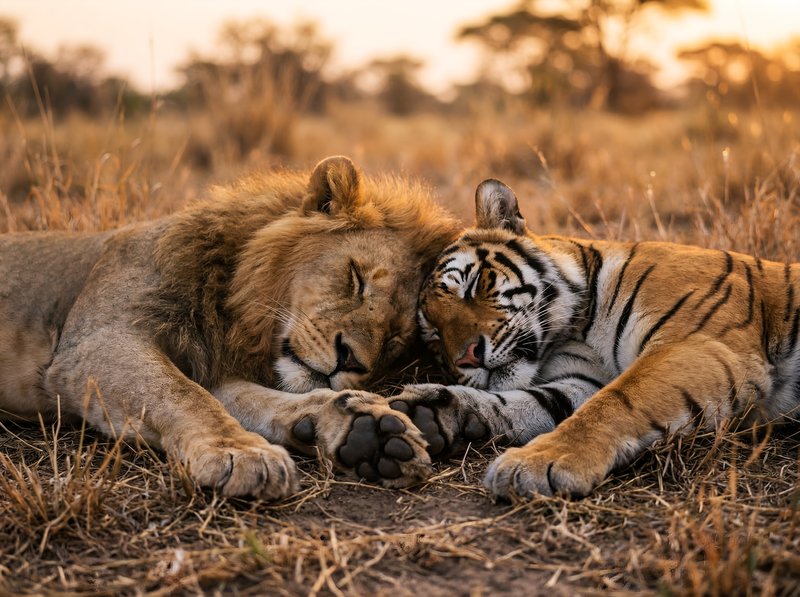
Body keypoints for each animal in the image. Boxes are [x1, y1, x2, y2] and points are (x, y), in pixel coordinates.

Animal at [0, 156, 459, 499]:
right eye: (356, 278)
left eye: (393, 341)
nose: (350, 360)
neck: (231, 303)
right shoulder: (97, 342)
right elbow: (182, 395)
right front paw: (242, 452)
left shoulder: (209, 364)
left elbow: (250, 399)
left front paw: (363, 427)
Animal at [388, 178, 800, 499]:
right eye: (433, 335)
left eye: (472, 285)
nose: (468, 357)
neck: (577, 329)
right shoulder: (581, 380)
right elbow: (526, 402)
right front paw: (431, 411)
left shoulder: (699, 344)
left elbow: (615, 403)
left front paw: (534, 464)